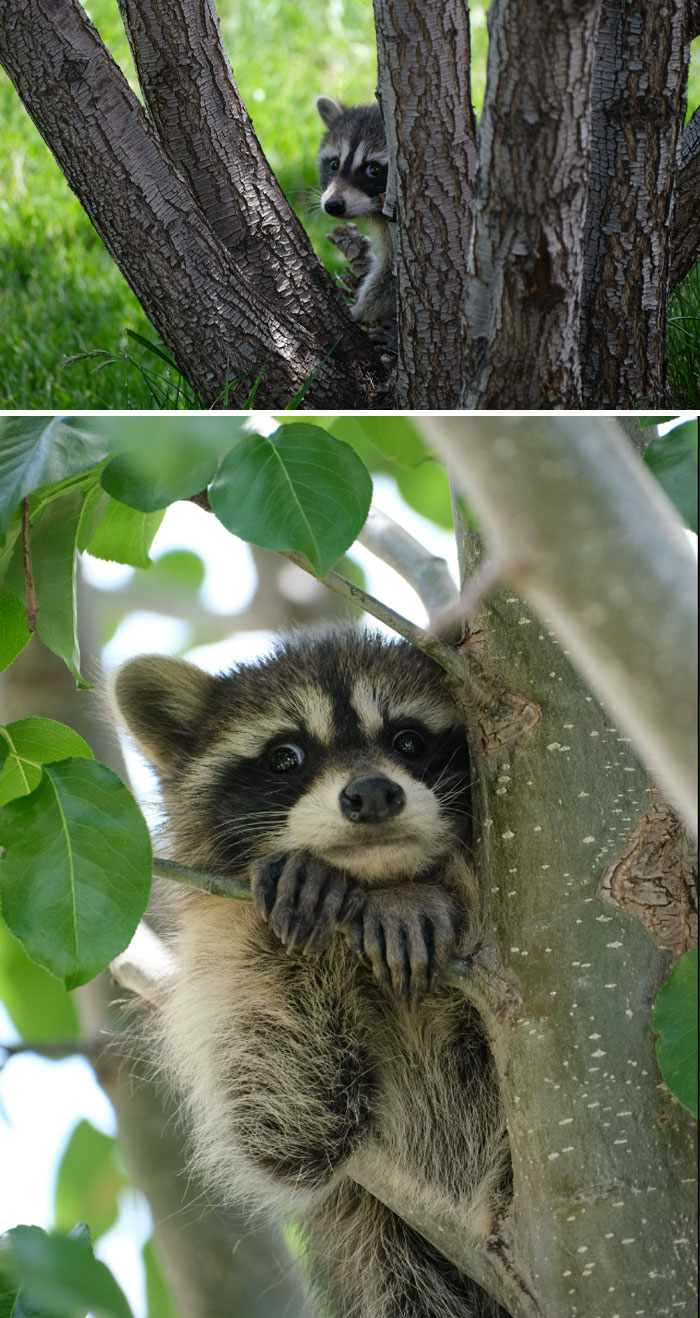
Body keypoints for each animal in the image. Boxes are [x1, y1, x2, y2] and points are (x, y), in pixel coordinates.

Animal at [115, 627, 510, 1318]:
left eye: (408, 740)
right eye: (285, 757)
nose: (372, 793)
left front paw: (427, 891)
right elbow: (282, 1118)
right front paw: (298, 909)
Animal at [316, 96, 397, 326]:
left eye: (373, 170)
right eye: (334, 164)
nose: (333, 205)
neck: (377, 211)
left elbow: (390, 277)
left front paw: (359, 311)